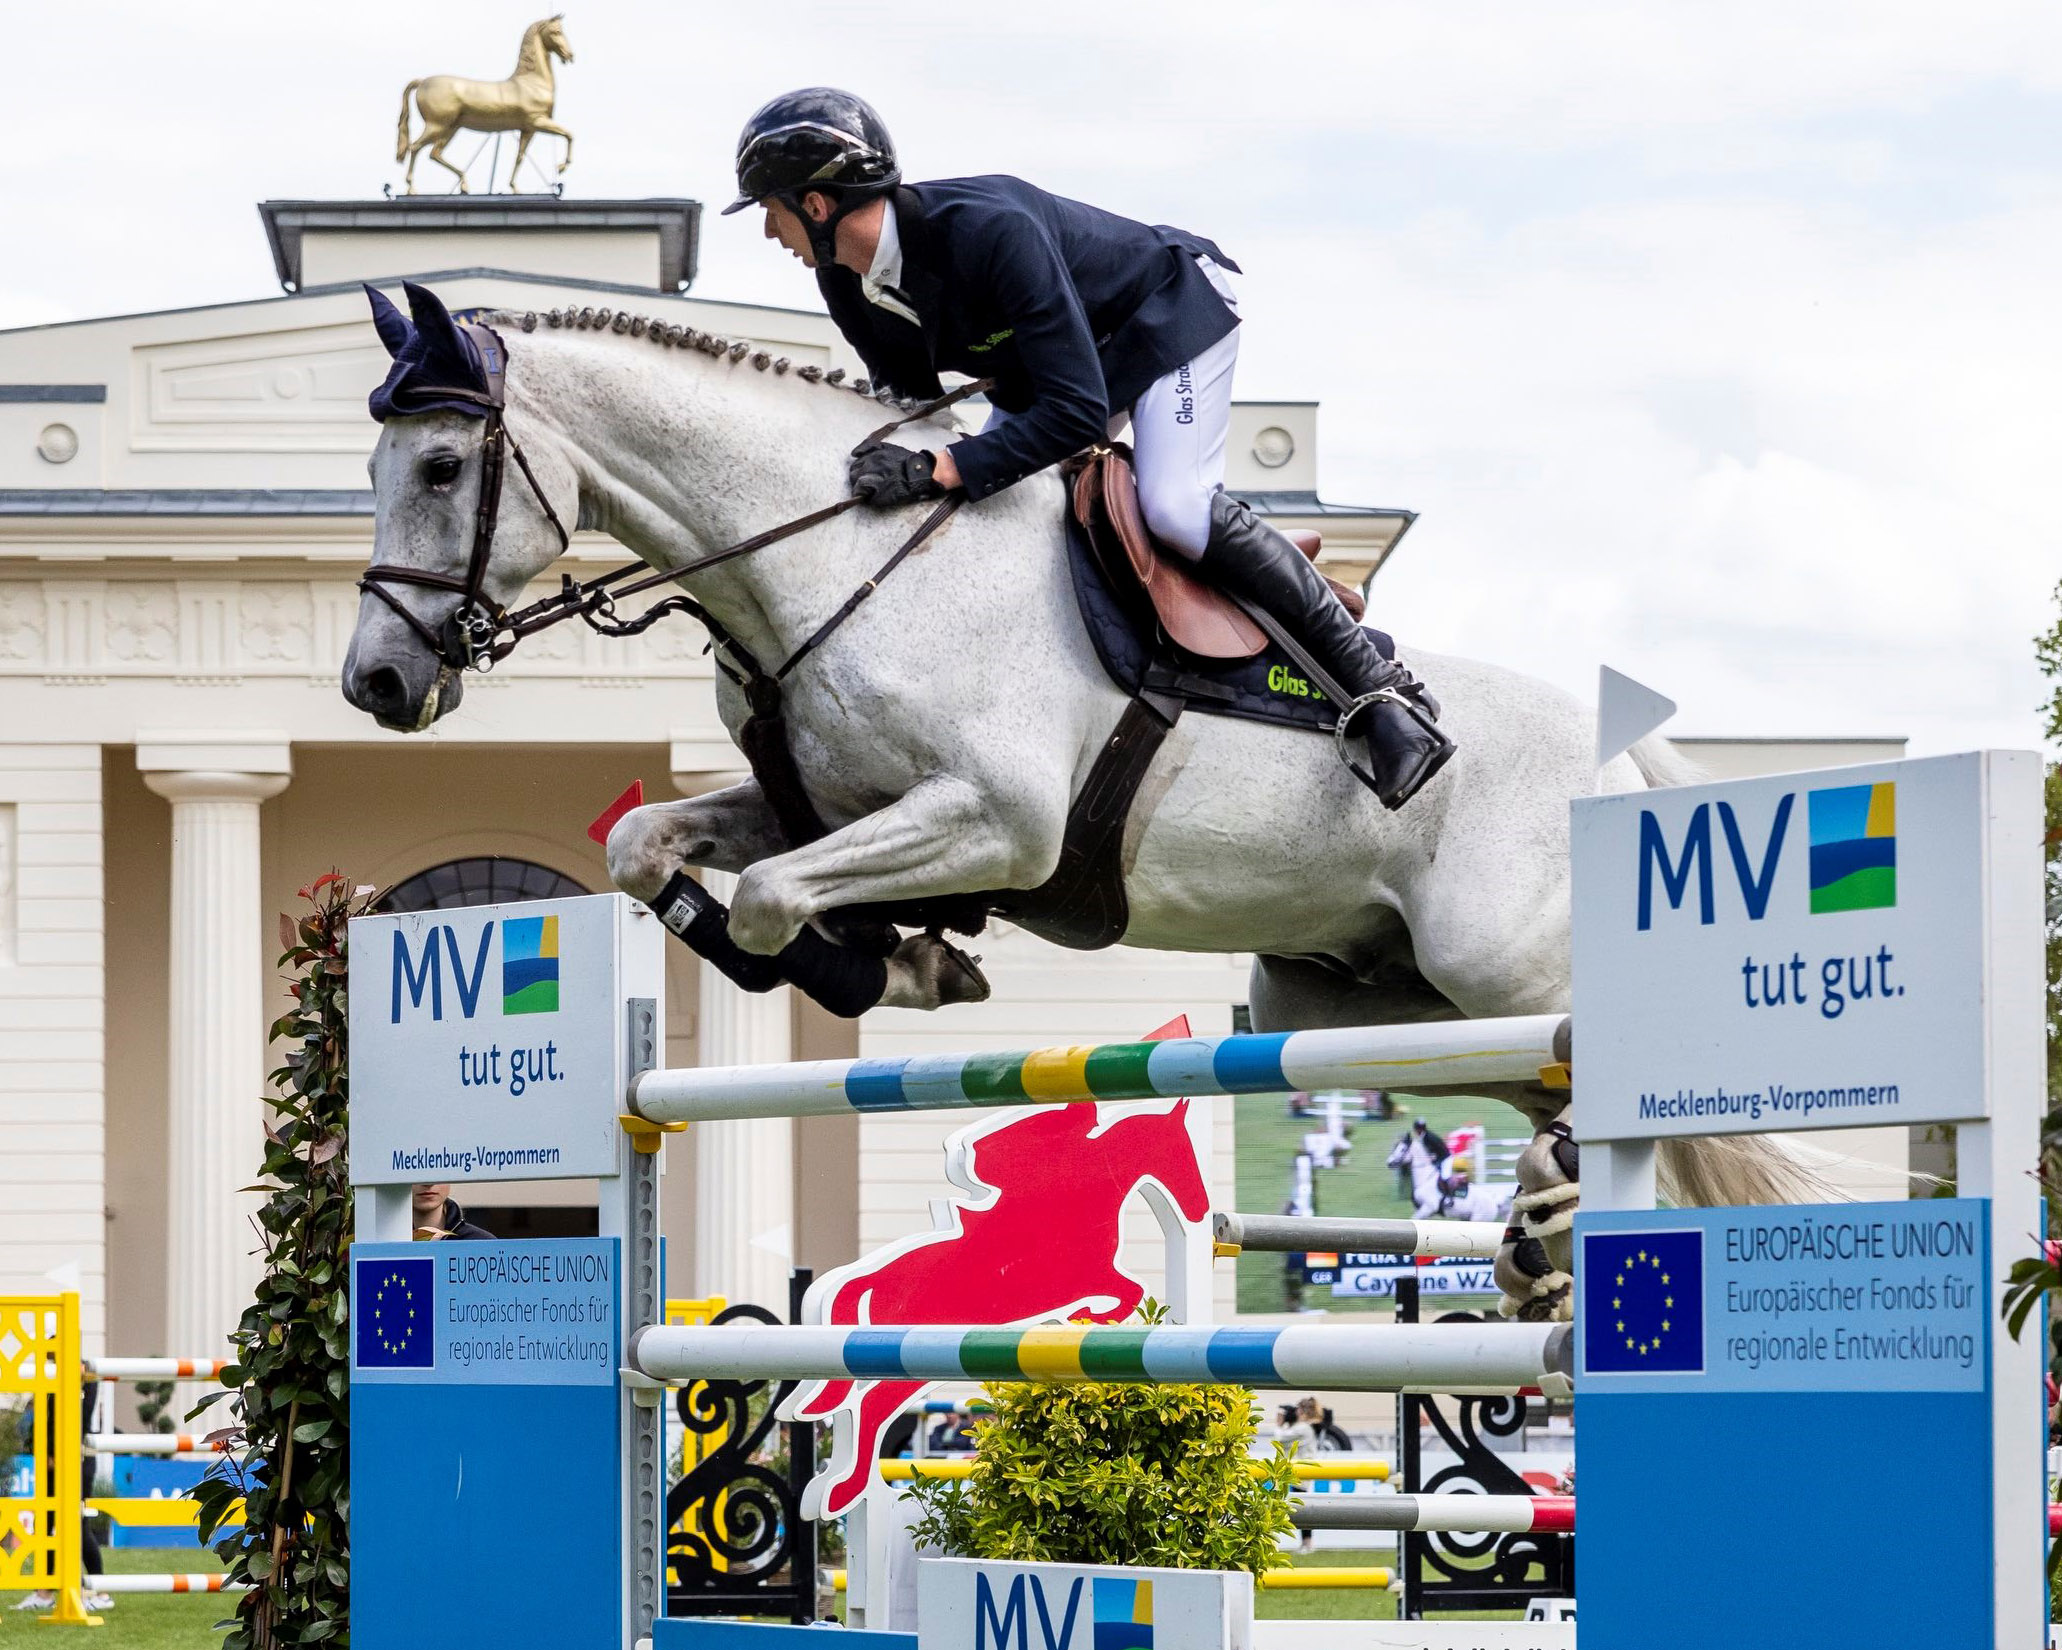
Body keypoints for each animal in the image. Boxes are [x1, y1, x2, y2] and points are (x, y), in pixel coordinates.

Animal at [342, 284, 1839, 1311]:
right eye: (370, 472)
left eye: (440, 468)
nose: (374, 682)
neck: (835, 556)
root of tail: (1629, 763)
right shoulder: (815, 802)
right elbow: (653, 847)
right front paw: (893, 959)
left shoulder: (995, 817)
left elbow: (768, 901)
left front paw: (876, 965)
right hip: (1342, 1004)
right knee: (1530, 1083)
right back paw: (1535, 1227)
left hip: (1493, 961)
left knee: (1596, 1071)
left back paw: (1543, 1213)